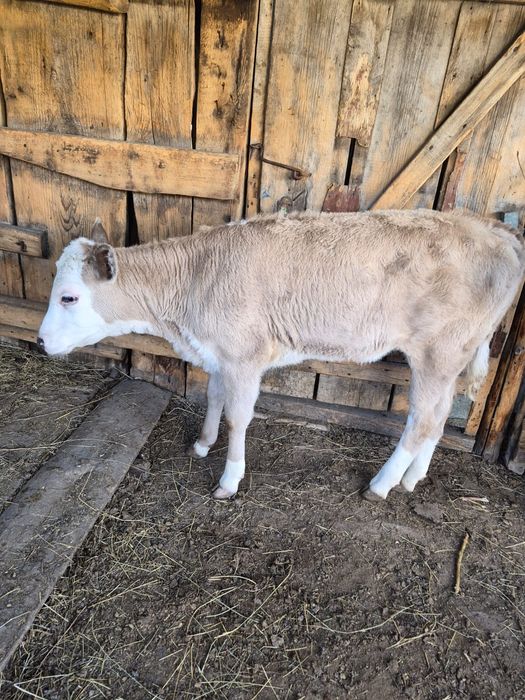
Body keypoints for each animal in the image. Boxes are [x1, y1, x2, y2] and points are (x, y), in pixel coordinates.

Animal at [38, 210, 525, 501]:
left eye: (68, 297)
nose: (41, 341)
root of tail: (493, 228)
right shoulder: (219, 353)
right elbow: (213, 397)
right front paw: (202, 444)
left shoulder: (245, 355)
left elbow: (238, 417)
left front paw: (229, 479)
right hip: (454, 354)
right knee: (439, 416)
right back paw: (412, 478)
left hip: (437, 351)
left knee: (422, 418)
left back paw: (382, 484)